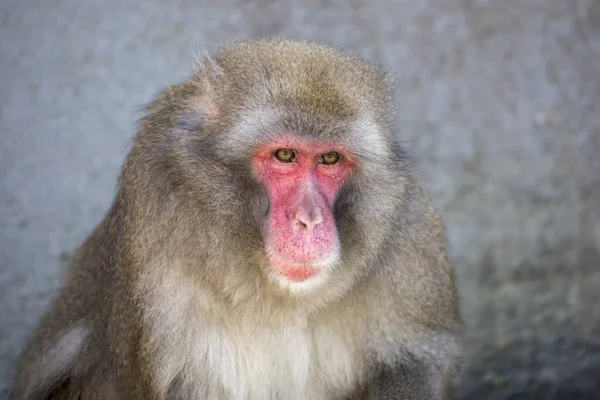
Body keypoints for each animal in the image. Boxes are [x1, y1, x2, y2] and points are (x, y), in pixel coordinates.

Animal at [11, 38, 466, 400]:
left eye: (330, 159)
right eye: (285, 155)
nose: (310, 221)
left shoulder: (408, 228)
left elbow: (412, 365)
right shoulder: (153, 215)